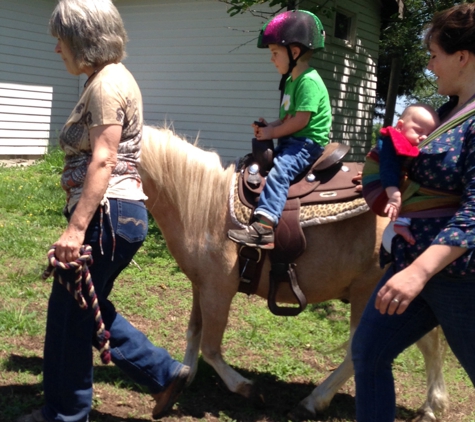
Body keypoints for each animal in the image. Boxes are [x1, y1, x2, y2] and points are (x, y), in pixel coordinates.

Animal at [139, 126, 450, 422]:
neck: (205, 209)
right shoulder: (200, 285)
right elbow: (194, 331)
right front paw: (183, 375)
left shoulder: (218, 291)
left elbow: (211, 347)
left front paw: (248, 389)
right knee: (428, 345)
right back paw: (431, 406)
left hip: (370, 293)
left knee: (358, 352)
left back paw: (312, 402)